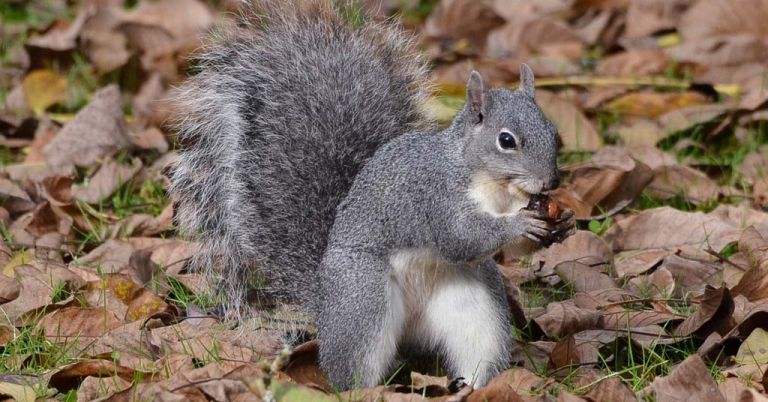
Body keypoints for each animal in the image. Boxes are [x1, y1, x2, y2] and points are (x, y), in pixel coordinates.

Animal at [169, 0, 575, 391]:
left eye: (553, 130)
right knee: (352, 369)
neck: (494, 187)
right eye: (506, 140)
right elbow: (460, 238)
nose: (551, 182)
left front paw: (562, 224)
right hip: (363, 298)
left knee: (476, 346)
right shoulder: (434, 195)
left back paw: (473, 385)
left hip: (473, 305)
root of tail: (324, 299)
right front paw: (520, 224)